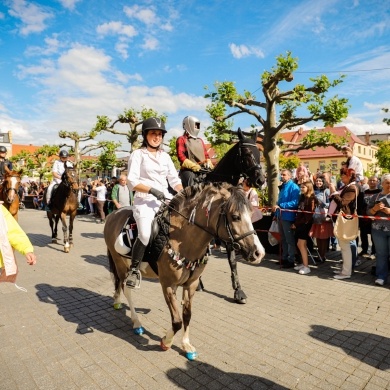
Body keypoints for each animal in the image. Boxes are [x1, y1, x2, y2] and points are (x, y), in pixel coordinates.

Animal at [103, 182, 266, 360]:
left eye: (251, 214)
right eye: (235, 216)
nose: (259, 253)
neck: (183, 237)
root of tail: (113, 214)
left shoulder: (191, 284)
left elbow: (187, 315)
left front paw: (186, 345)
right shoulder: (168, 285)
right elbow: (177, 321)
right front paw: (166, 342)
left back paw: (117, 302)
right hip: (121, 264)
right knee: (126, 288)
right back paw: (137, 323)